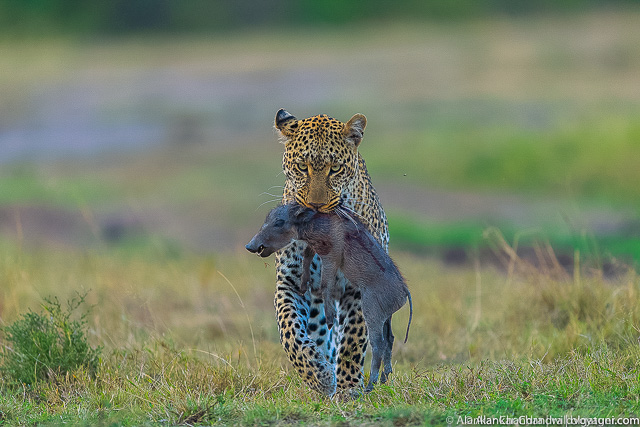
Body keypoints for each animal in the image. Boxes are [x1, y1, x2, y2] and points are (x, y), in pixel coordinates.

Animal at [272, 109, 389, 396]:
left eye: (335, 169)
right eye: (302, 167)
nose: (316, 205)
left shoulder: (361, 286)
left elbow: (353, 339)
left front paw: (348, 387)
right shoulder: (290, 281)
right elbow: (289, 331)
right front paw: (318, 375)